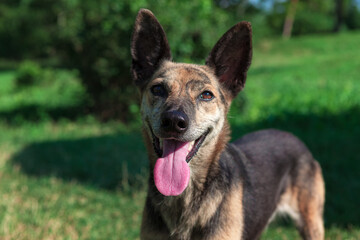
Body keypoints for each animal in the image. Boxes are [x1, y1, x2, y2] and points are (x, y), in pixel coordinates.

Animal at [131, 8, 324, 239]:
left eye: (206, 95)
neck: (185, 197)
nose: (174, 121)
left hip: (311, 222)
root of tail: (289, 135)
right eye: (158, 89)